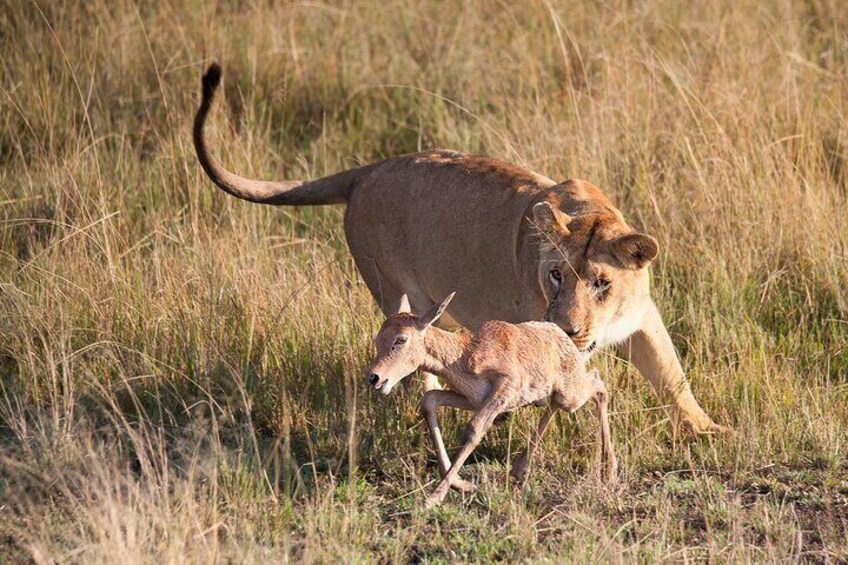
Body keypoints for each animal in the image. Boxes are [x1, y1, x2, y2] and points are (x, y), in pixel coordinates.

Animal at [192, 63, 726, 433]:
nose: (569, 330)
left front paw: (708, 430)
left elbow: (673, 376)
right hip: (391, 287)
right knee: (406, 340)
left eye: (601, 282)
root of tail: (367, 171)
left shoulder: (644, 318)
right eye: (555, 275)